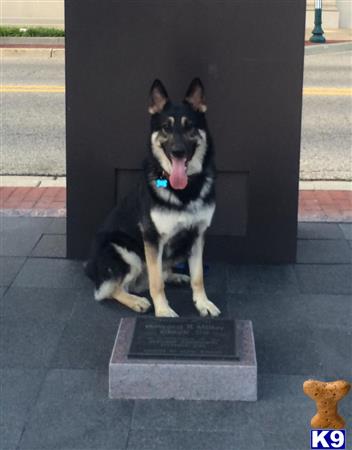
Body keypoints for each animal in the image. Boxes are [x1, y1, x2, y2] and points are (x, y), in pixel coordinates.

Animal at [85, 79, 220, 318]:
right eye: (166, 127)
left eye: (190, 127)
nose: (178, 152)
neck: (184, 190)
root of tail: (92, 267)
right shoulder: (153, 239)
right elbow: (156, 283)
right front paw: (163, 310)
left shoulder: (197, 236)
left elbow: (198, 277)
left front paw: (203, 303)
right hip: (127, 252)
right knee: (112, 289)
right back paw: (136, 300)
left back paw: (175, 275)